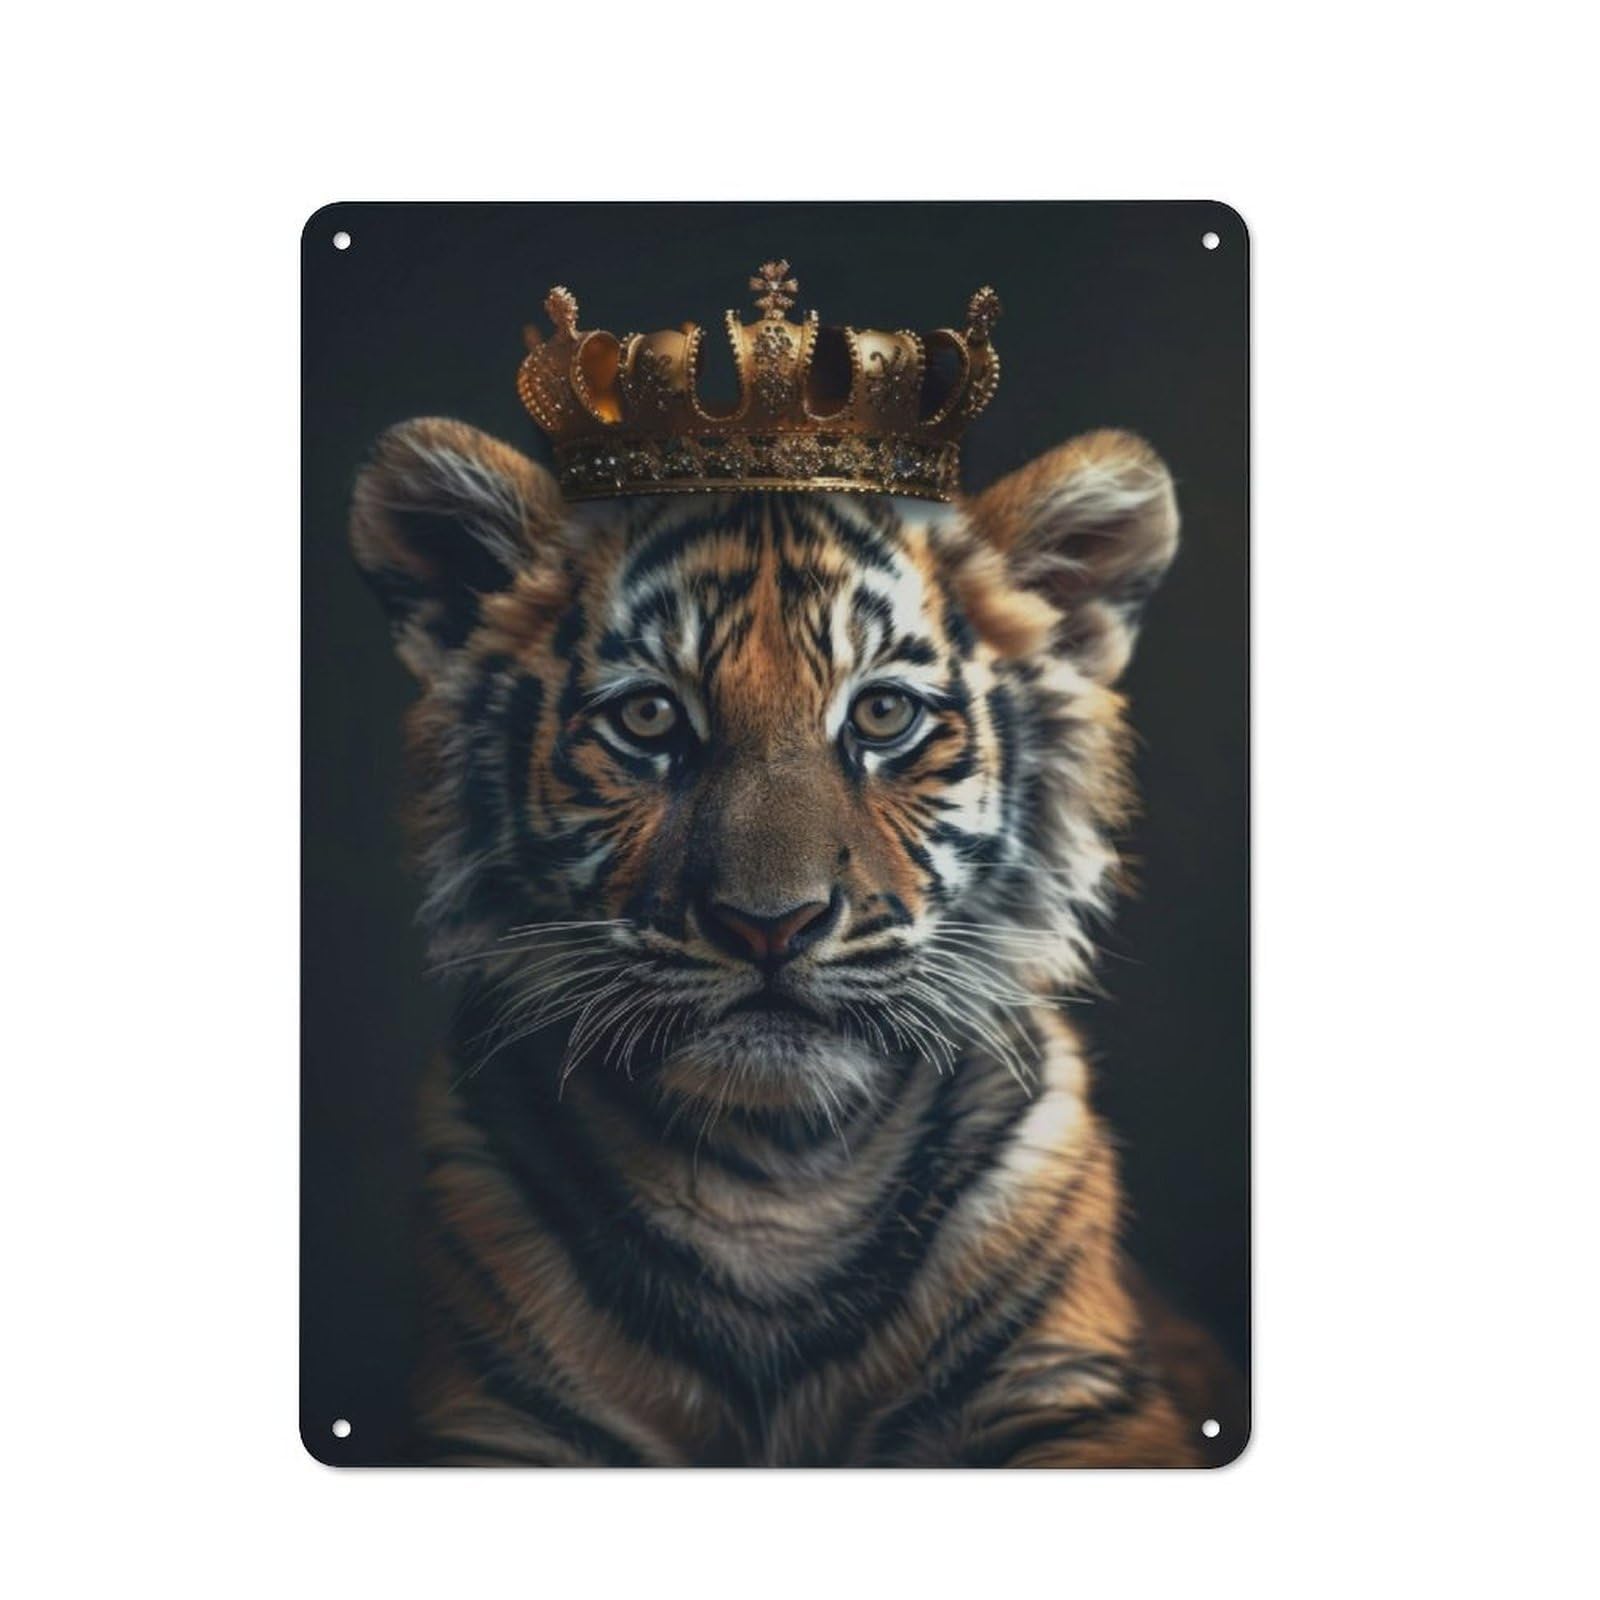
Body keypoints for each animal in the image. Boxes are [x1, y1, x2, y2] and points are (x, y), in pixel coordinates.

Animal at [349, 414, 1241, 1466]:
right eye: (648, 716)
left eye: (883, 713)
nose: (769, 924)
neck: (775, 1183)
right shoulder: (500, 1420)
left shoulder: (1067, 1391)